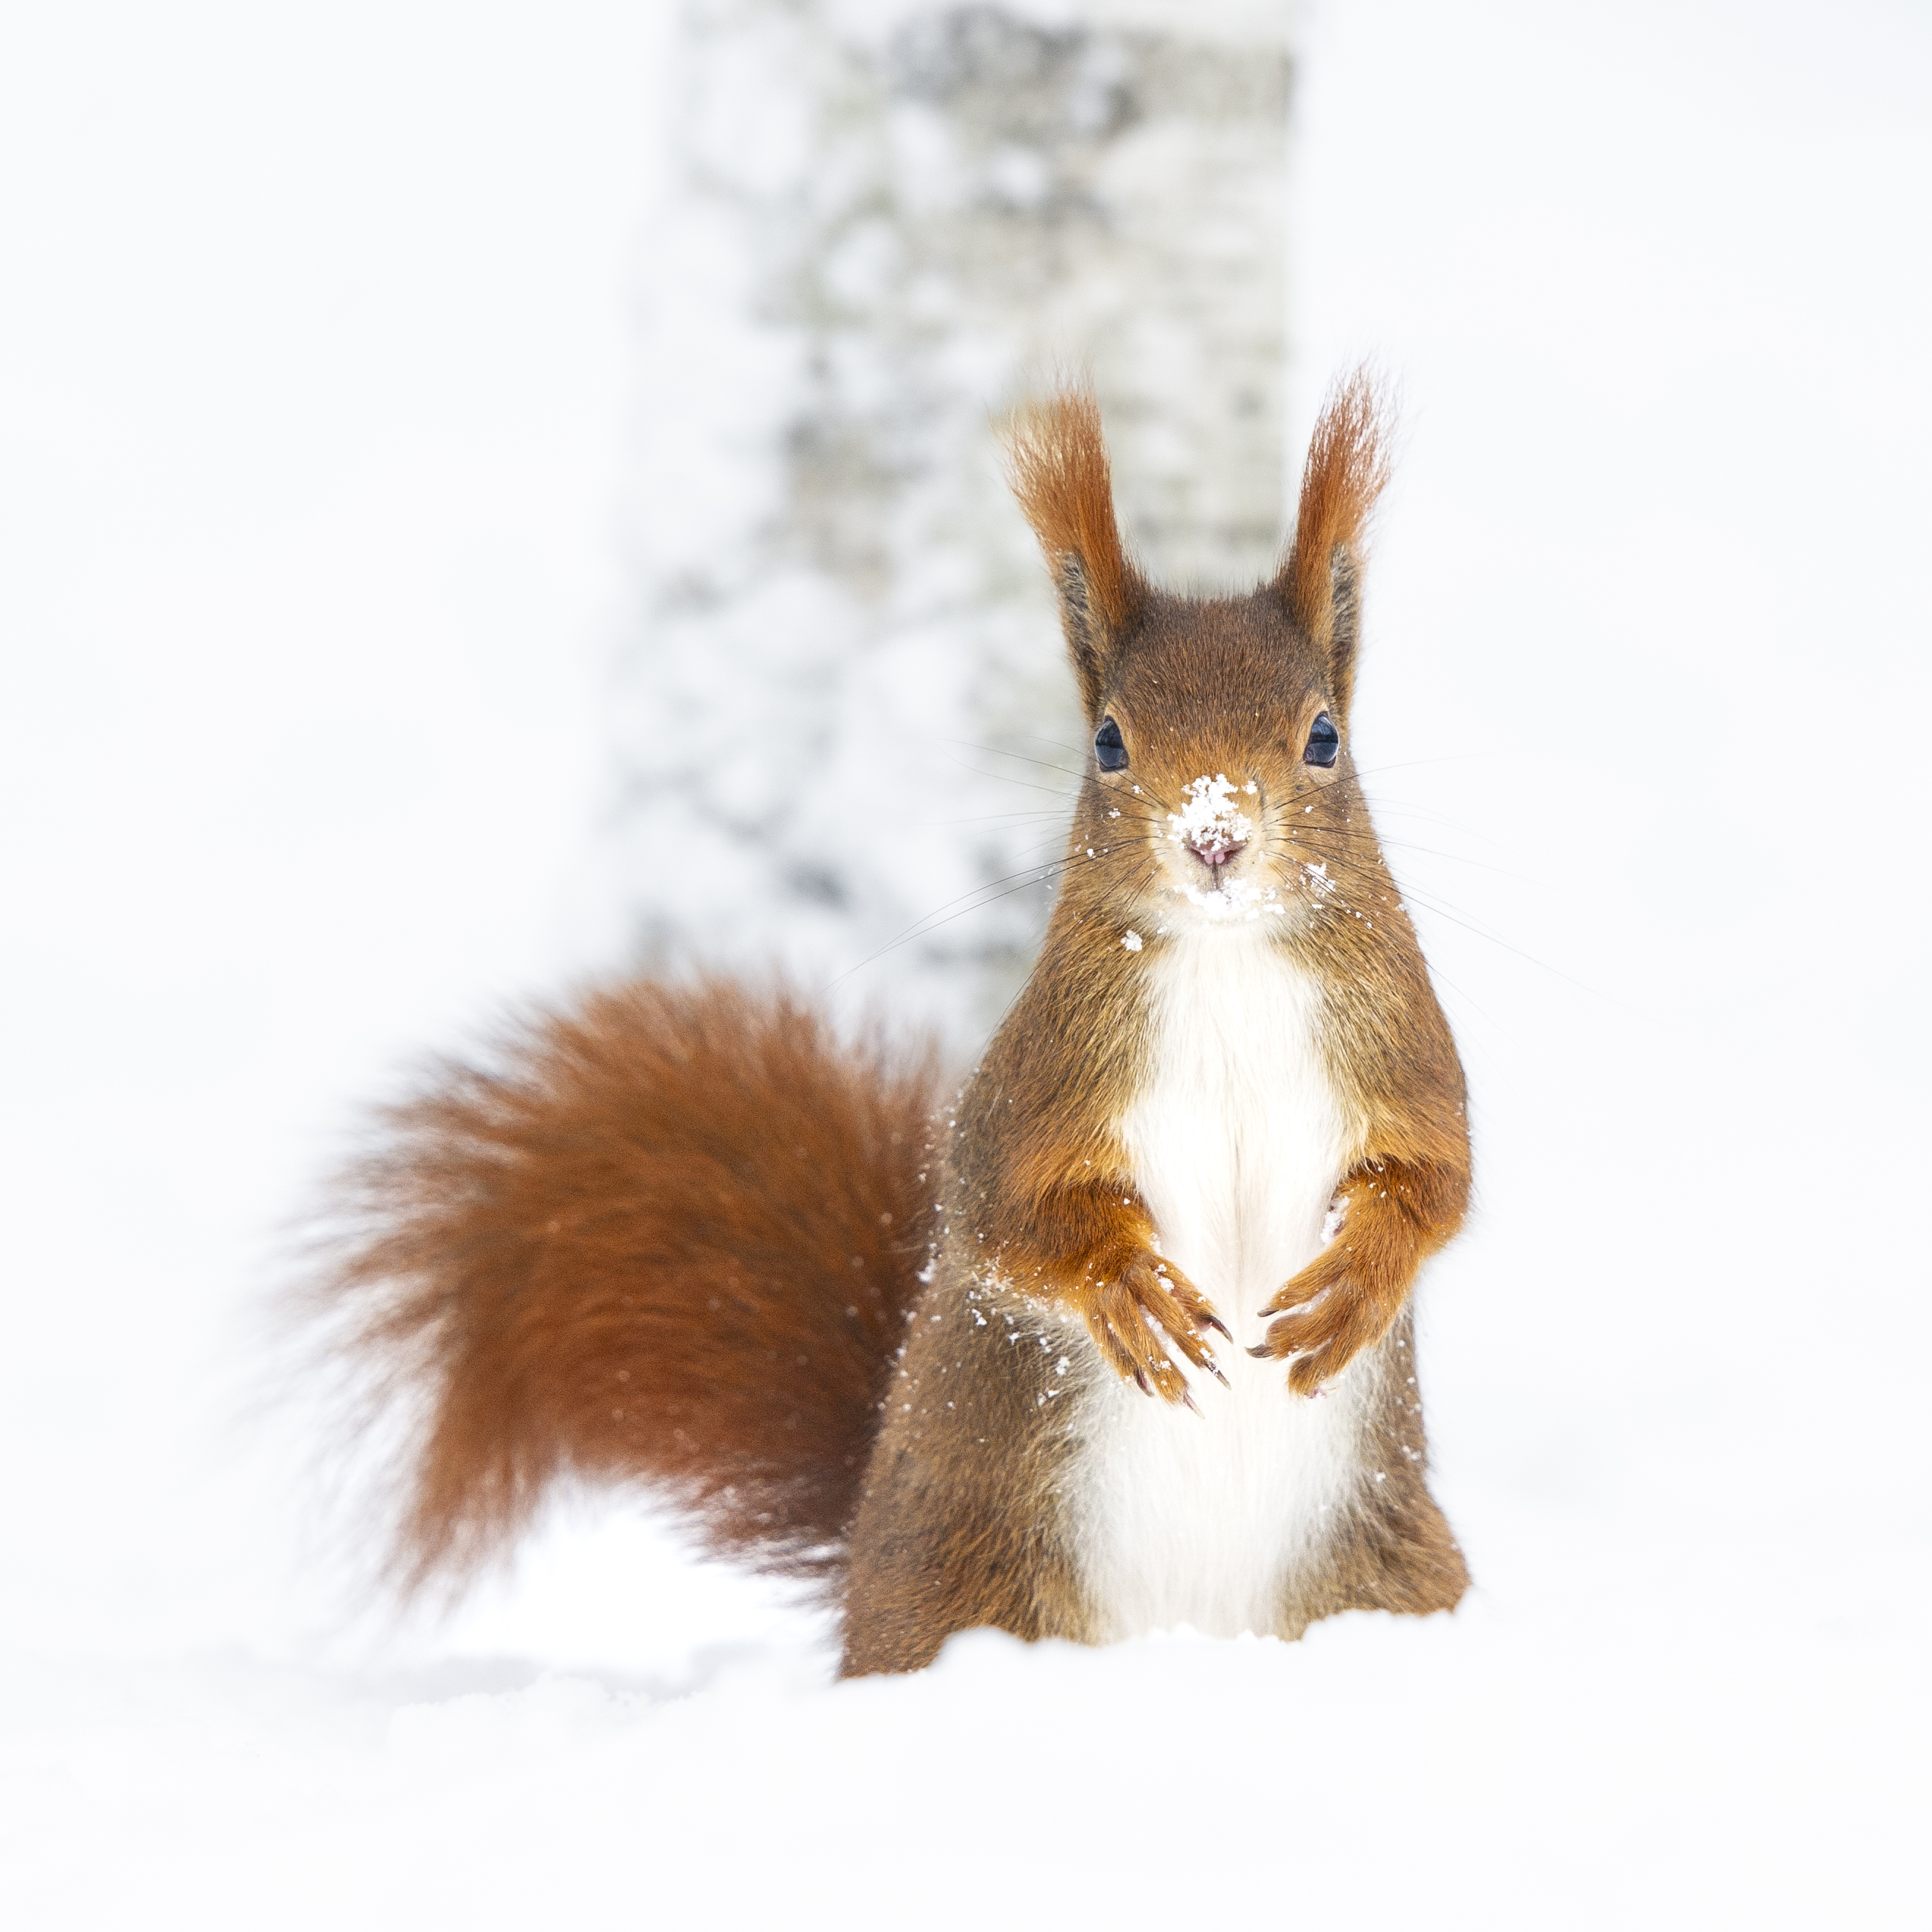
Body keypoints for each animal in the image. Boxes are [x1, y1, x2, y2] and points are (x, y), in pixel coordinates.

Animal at [313, 373, 1471, 1676]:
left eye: (1324, 736)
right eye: (1109, 741)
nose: (1215, 837)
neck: (1226, 964)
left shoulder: (1404, 1053)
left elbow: (1438, 1178)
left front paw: (1359, 1281)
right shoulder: (1040, 1085)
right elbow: (1002, 1206)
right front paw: (1129, 1290)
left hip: (1391, 1569)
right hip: (973, 1587)